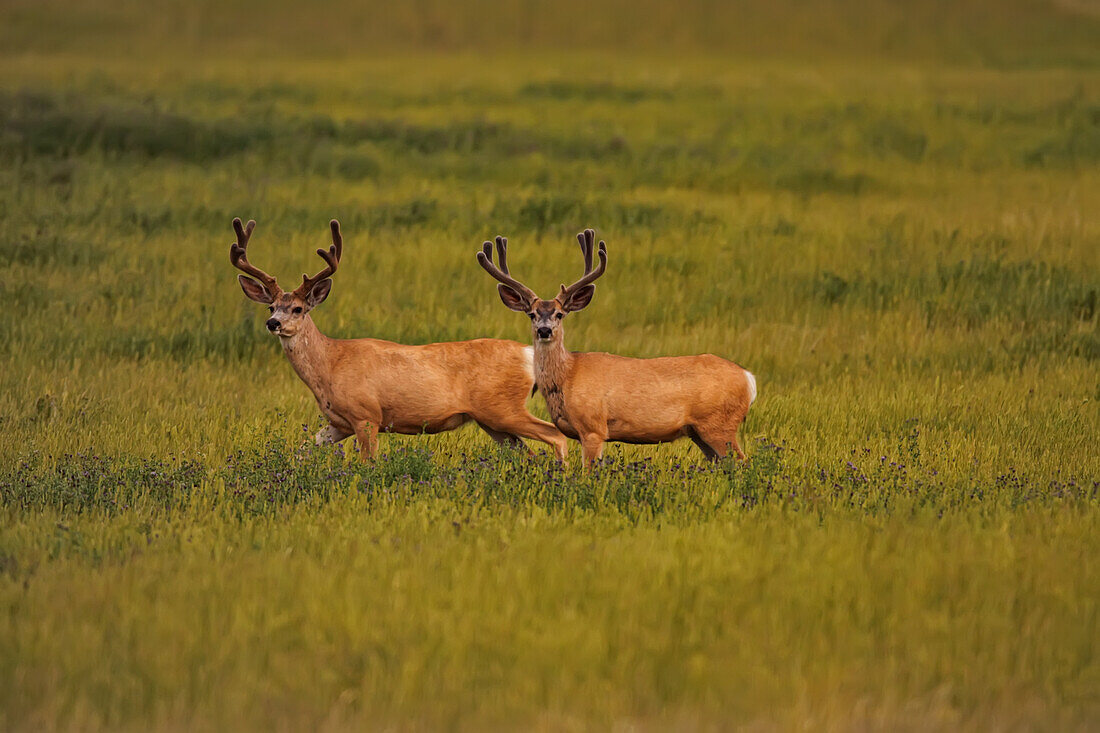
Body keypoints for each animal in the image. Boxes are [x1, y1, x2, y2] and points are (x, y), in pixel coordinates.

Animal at [225, 214, 567, 460]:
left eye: (297, 309)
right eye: (271, 306)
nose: (272, 322)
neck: (330, 364)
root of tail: (527, 353)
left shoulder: (367, 416)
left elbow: (368, 463)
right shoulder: (337, 423)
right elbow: (301, 451)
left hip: (504, 409)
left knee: (557, 436)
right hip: (493, 421)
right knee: (529, 453)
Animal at [477, 231, 761, 464]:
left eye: (559, 314)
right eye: (532, 314)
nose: (544, 330)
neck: (568, 376)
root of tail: (749, 378)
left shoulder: (594, 427)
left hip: (719, 424)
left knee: (741, 462)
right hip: (699, 432)